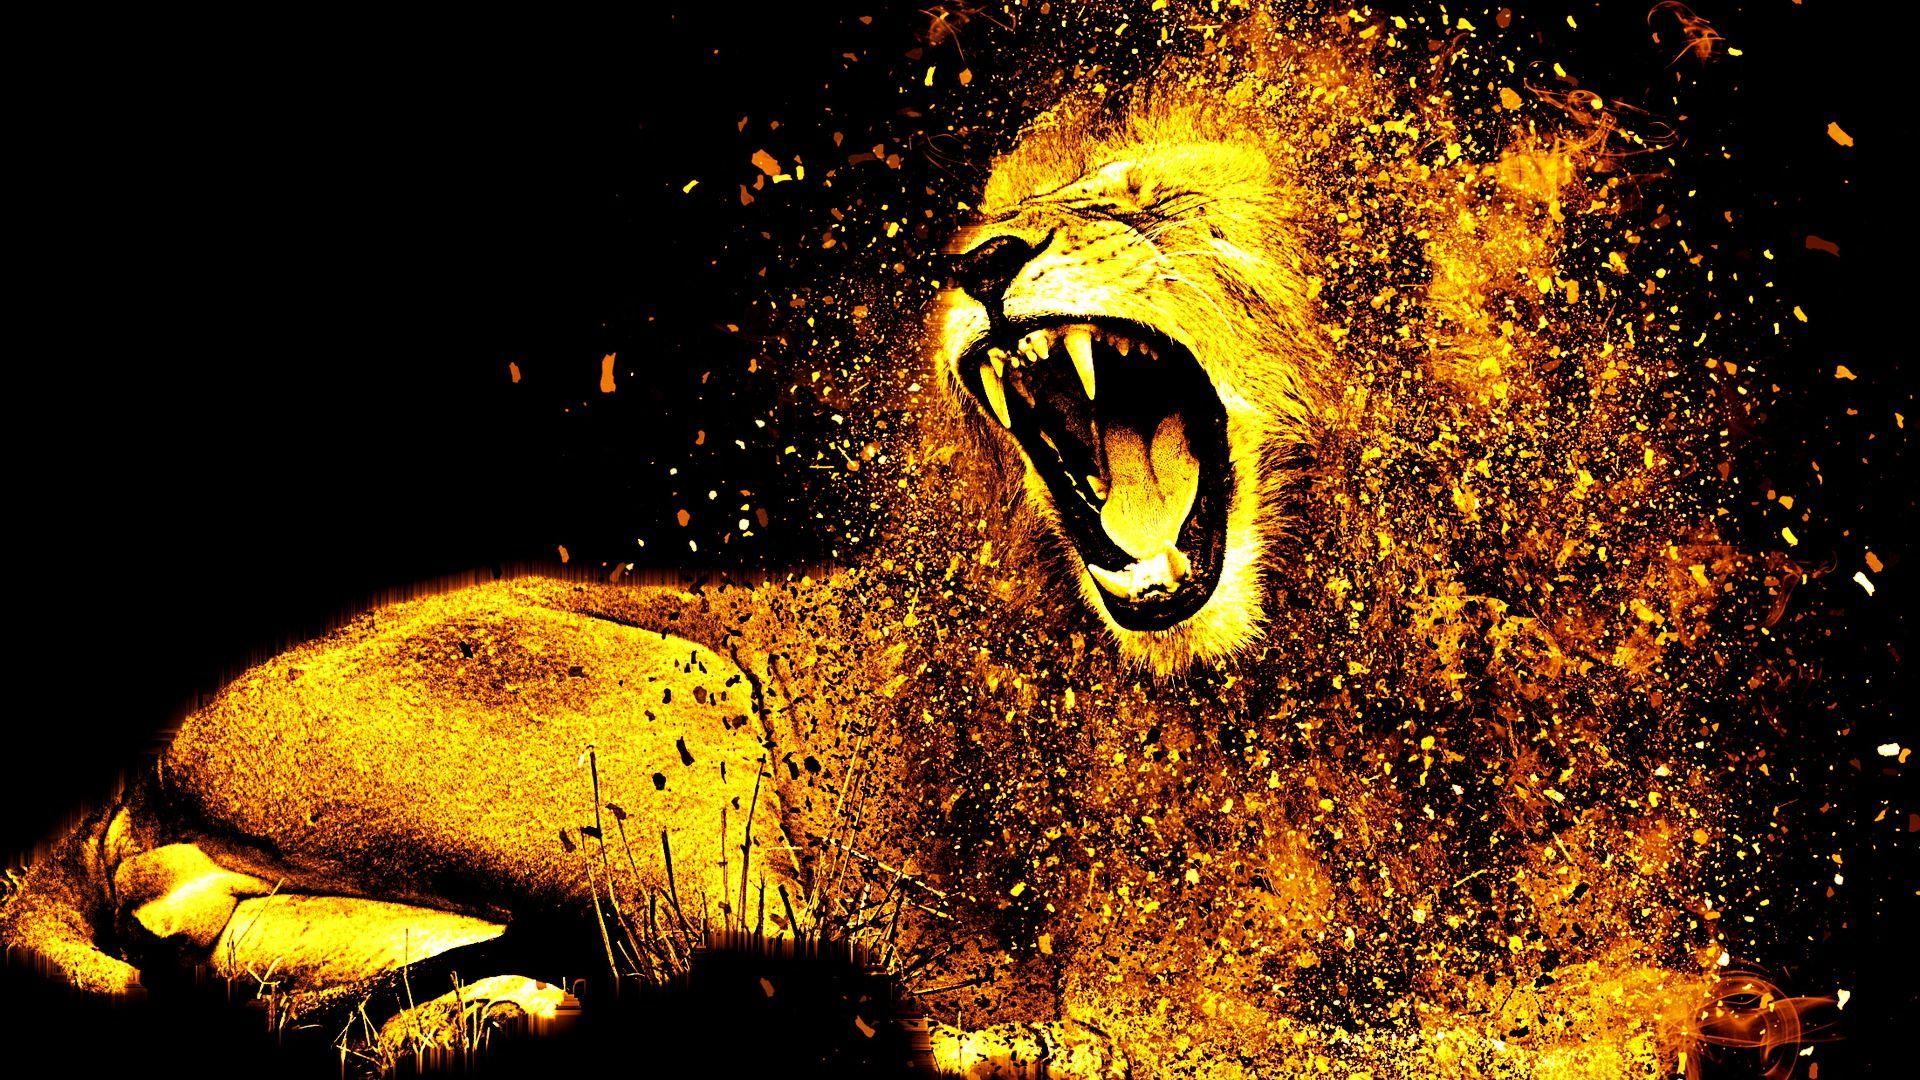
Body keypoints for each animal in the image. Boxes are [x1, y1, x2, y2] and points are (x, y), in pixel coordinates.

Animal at [4, 12, 1773, 1078]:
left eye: (1148, 205)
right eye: (1014, 207)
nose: (982, 256)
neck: (1309, 651)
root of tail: (143, 754)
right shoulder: (1164, 954)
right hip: (685, 713)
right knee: (741, 967)